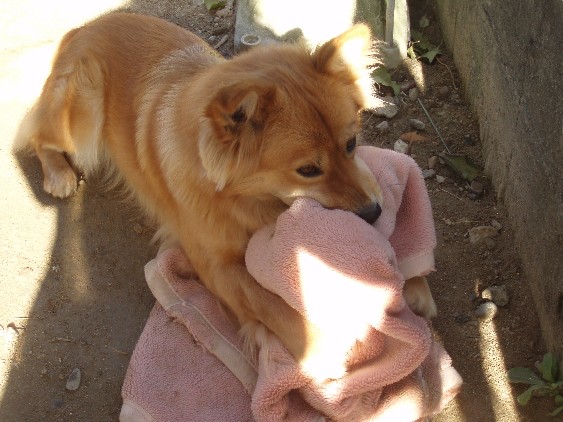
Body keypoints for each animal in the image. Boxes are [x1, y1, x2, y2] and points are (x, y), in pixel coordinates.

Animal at [16, 12, 435, 379]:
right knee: (36, 134)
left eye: (351, 144)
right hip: (82, 113)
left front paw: (411, 284)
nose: (373, 212)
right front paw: (321, 348)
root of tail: (83, 28)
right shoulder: (215, 265)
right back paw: (58, 173)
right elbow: (267, 301)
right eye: (307, 170)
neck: (245, 199)